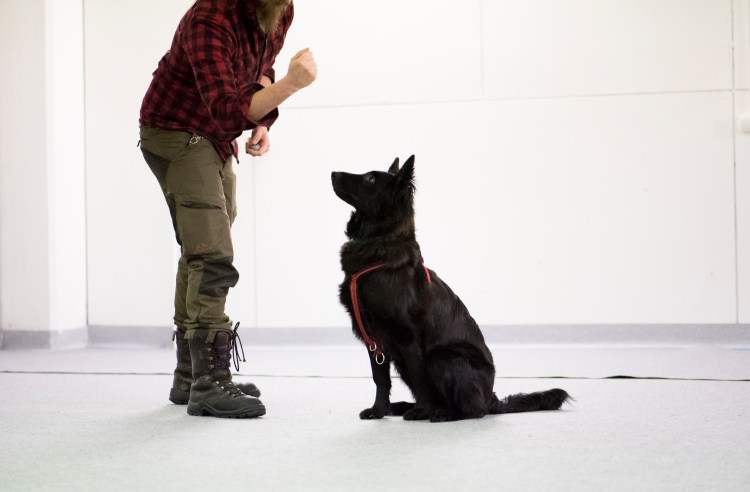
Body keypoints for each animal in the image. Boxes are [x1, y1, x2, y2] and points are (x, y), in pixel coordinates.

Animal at [331, 155, 570, 422]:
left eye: (371, 178)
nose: (332, 173)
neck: (379, 243)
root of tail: (492, 398)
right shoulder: (374, 339)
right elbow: (380, 379)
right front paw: (378, 411)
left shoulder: (406, 336)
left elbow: (419, 377)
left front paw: (421, 412)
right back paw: (405, 407)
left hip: (443, 357)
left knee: (473, 410)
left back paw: (442, 413)